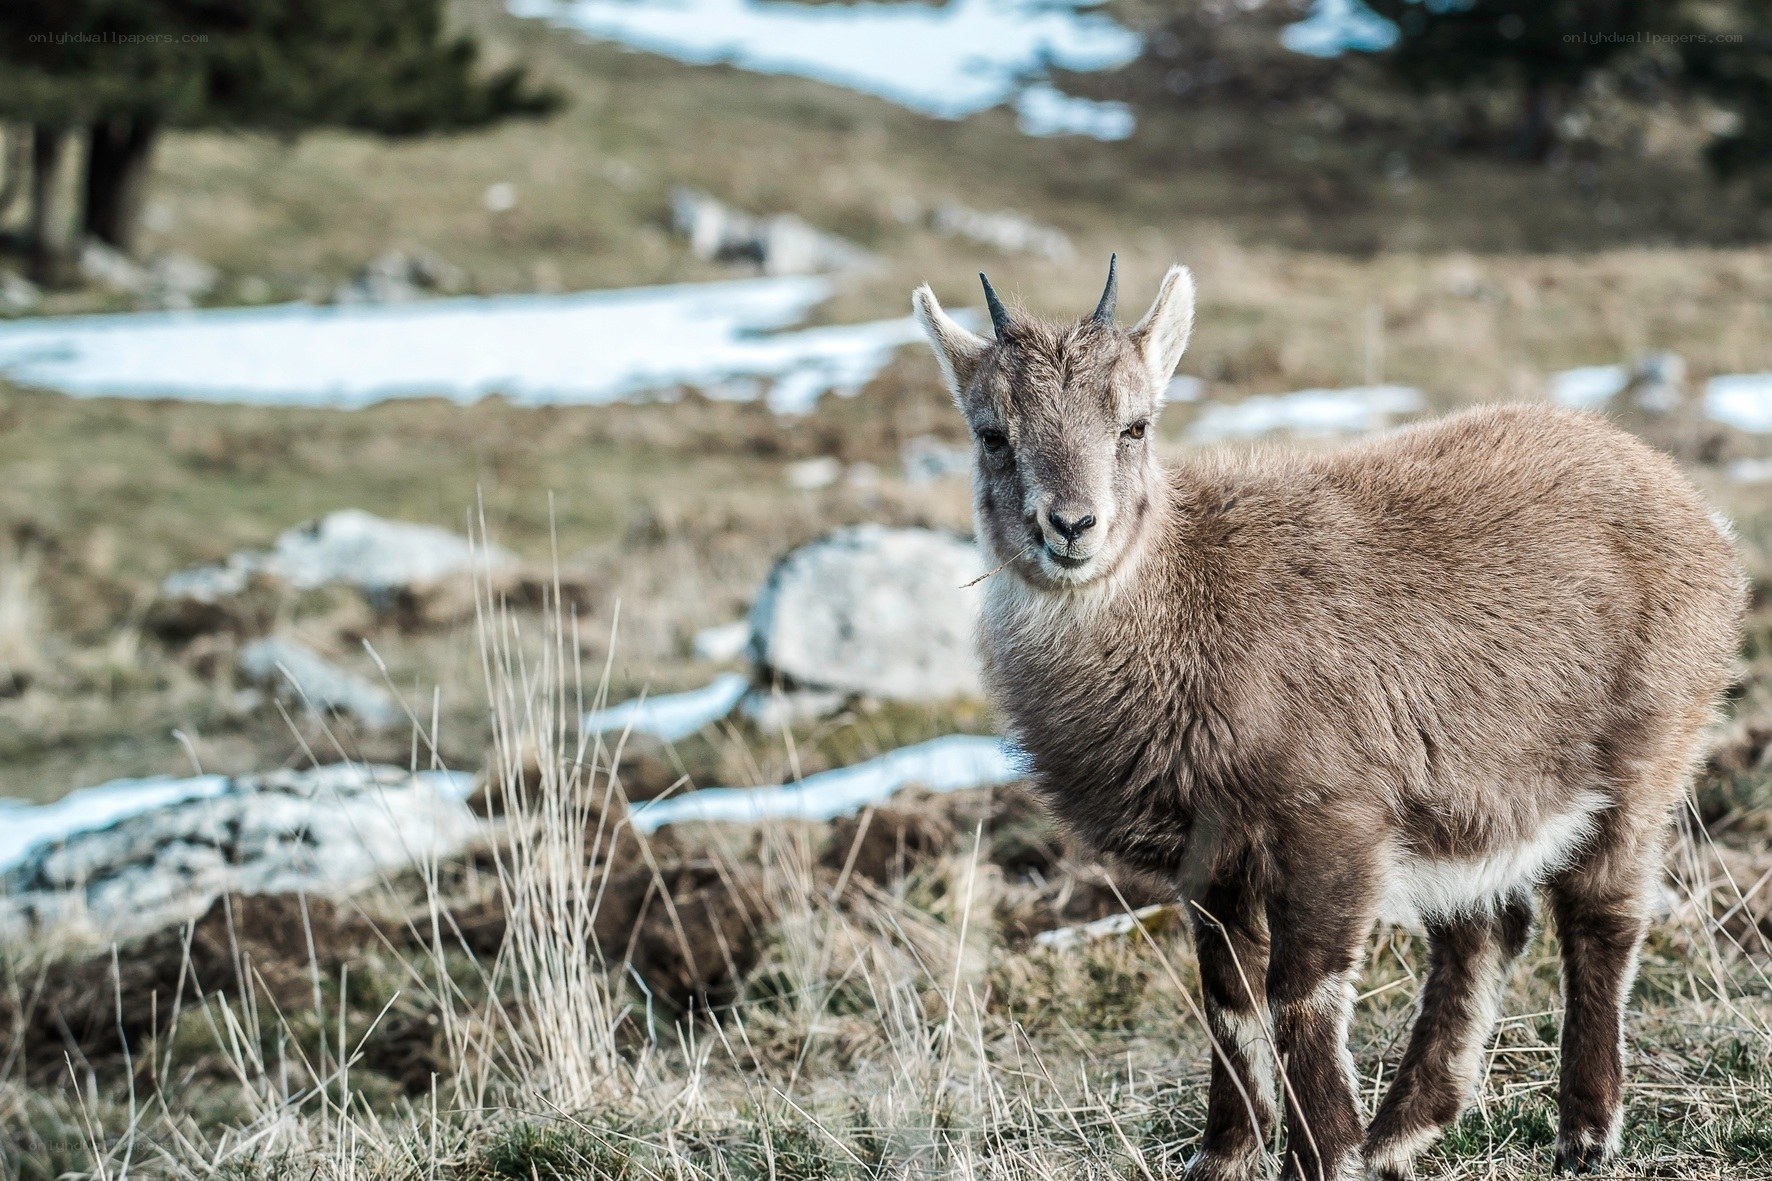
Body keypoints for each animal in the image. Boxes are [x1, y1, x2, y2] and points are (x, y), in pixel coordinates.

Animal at [912, 259, 1745, 1181]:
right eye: (992, 433)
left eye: (1134, 424)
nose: (1071, 525)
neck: (1186, 612)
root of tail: (1699, 516)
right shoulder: (1212, 861)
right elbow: (1229, 999)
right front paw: (1226, 1154)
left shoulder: (1330, 824)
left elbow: (1300, 995)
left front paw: (1324, 1154)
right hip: (1470, 796)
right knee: (1487, 926)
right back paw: (1403, 1130)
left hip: (1646, 751)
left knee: (1600, 913)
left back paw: (1584, 1132)